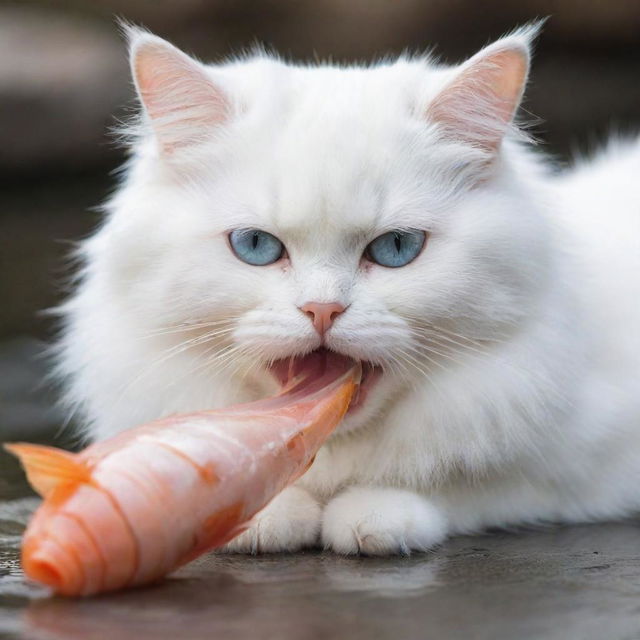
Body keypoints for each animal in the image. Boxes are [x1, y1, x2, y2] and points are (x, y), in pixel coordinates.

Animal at [55, 25, 640, 556]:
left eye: (397, 248)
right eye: (255, 245)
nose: (322, 310)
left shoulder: (573, 452)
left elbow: (475, 482)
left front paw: (372, 515)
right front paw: (263, 513)